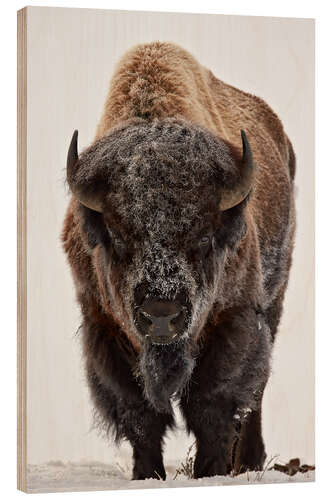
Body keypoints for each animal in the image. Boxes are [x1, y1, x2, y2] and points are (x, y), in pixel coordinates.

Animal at [62, 42, 296, 480]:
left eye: (204, 238)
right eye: (117, 237)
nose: (161, 314)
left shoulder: (233, 318)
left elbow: (214, 403)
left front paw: (210, 471)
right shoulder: (104, 327)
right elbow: (139, 413)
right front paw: (147, 474)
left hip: (274, 301)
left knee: (255, 392)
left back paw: (249, 461)